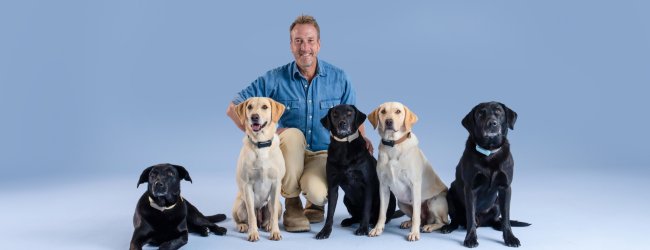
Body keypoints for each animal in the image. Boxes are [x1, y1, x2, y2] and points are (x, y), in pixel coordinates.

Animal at [312, 104, 398, 239]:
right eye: (335, 114)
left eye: (349, 113)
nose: (342, 123)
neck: (344, 147)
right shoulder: (332, 186)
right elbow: (330, 212)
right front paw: (325, 231)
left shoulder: (367, 185)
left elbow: (366, 209)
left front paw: (363, 228)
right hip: (346, 199)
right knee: (356, 216)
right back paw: (349, 220)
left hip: (391, 199)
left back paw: (373, 223)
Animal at [438, 102, 528, 248]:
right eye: (481, 113)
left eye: (499, 111)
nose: (492, 123)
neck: (489, 152)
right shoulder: (470, 189)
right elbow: (470, 217)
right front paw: (470, 238)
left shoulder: (505, 188)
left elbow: (507, 218)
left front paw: (510, 238)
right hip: (449, 195)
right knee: (457, 220)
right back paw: (449, 227)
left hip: (496, 203)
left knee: (497, 220)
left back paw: (498, 225)